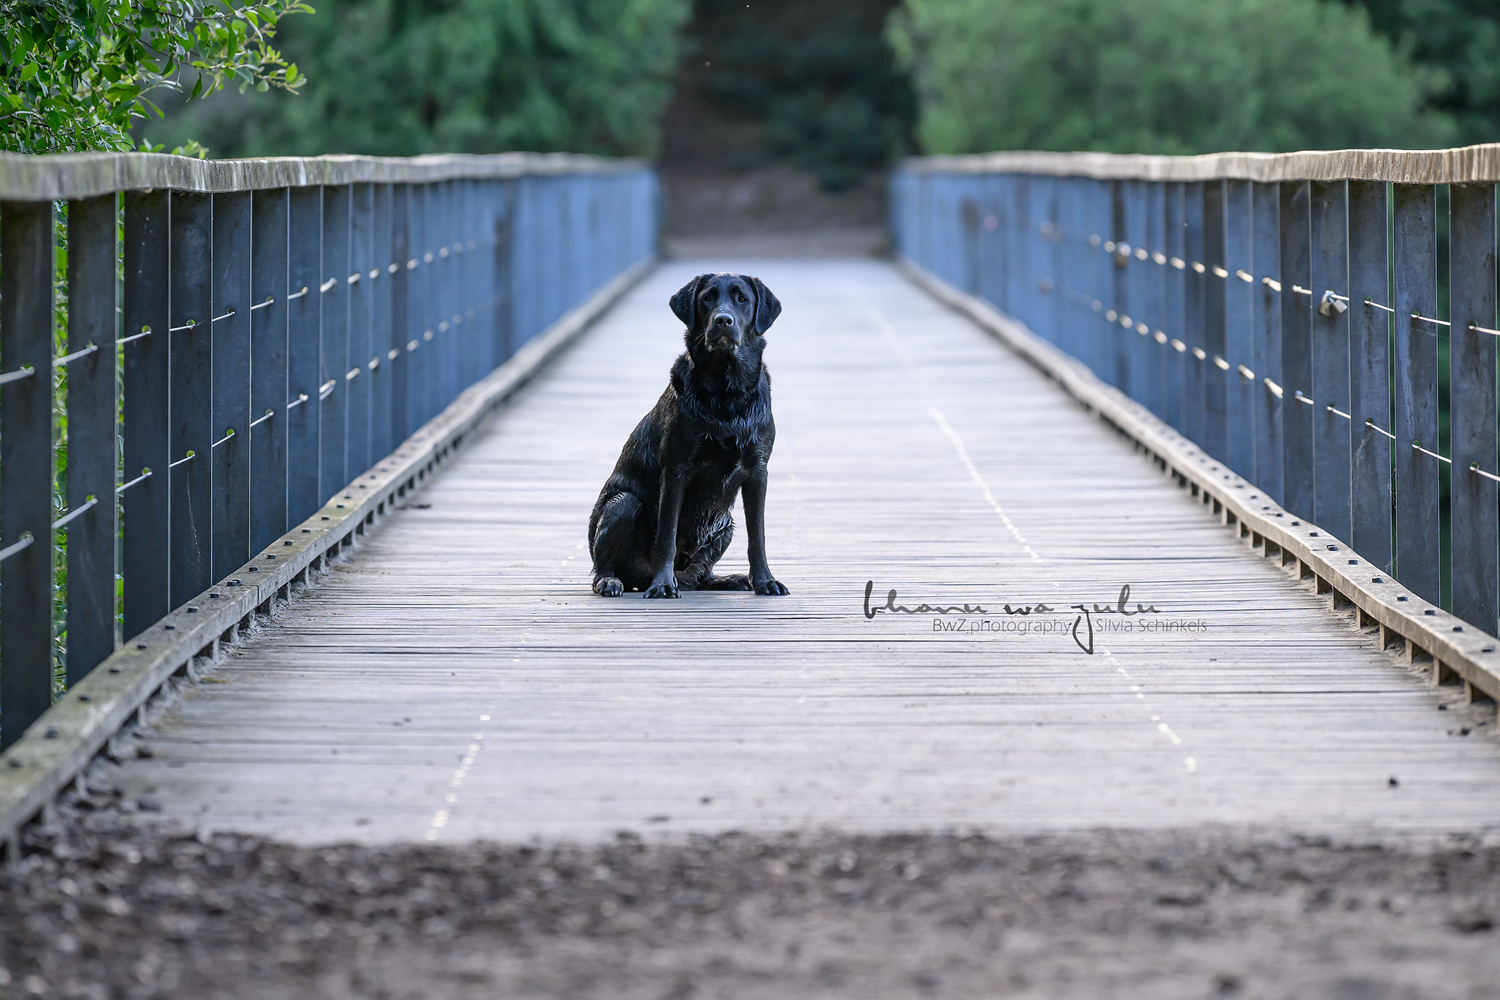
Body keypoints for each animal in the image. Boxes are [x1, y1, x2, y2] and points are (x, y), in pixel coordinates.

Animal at [585, 271, 792, 602]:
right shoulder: (676, 470)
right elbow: (667, 535)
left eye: (742, 299)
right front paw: (662, 585)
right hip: (623, 504)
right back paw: (614, 581)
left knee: (698, 577)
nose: (723, 320)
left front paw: (765, 581)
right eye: (707, 298)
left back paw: (727, 579)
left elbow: (757, 536)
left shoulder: (758, 470)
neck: (726, 392)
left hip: (725, 524)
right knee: (603, 566)